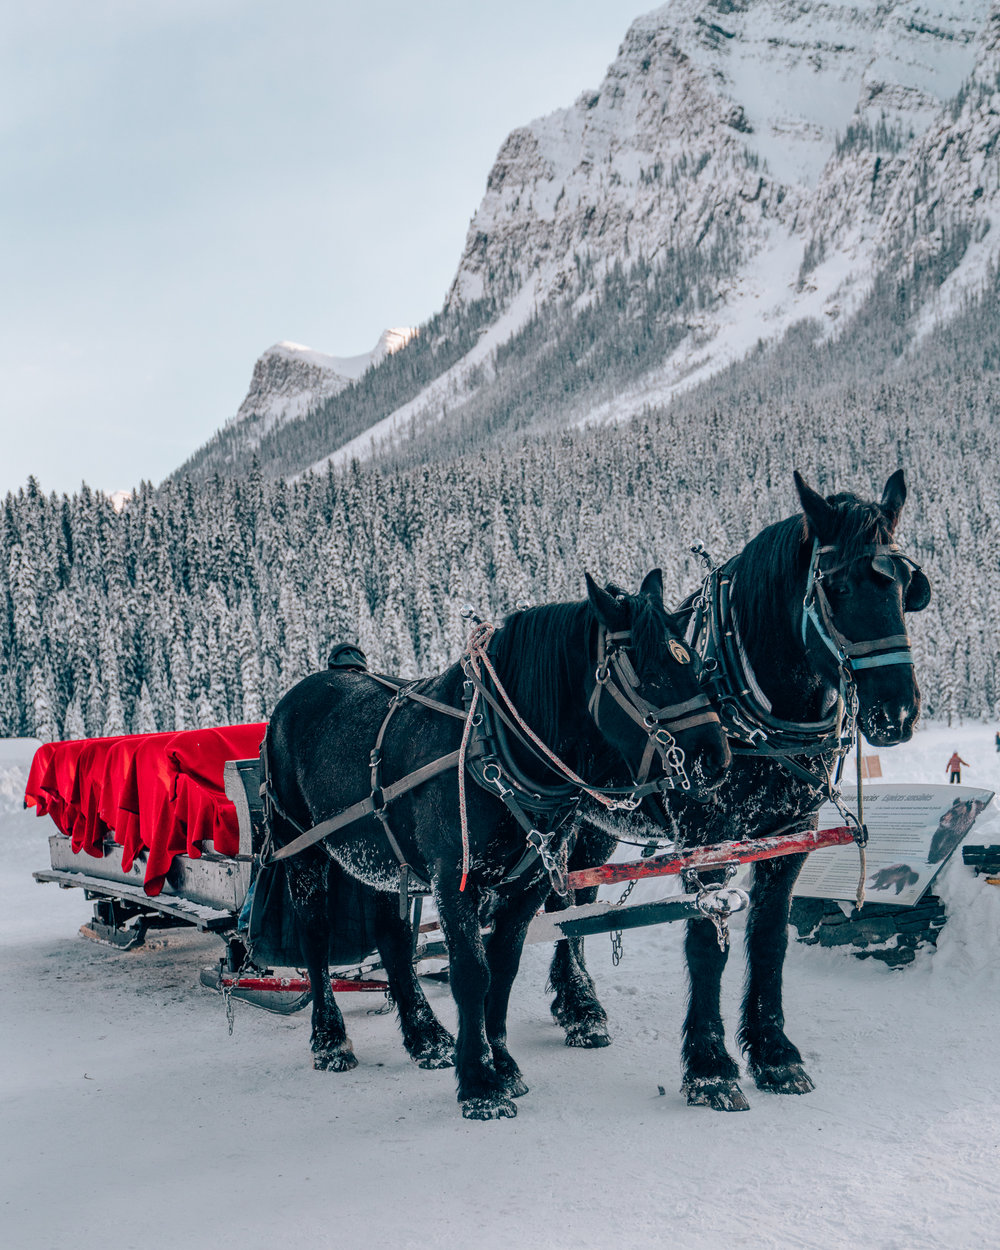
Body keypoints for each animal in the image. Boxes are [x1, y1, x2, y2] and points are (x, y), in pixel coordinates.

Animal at [265, 572, 730, 1120]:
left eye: (697, 664)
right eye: (647, 675)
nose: (717, 759)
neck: (495, 751)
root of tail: (297, 693)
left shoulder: (526, 888)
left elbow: (502, 972)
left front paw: (502, 1065)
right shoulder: (453, 881)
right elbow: (472, 974)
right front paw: (479, 1085)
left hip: (380, 860)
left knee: (393, 941)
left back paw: (426, 1038)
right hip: (301, 852)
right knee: (315, 940)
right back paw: (330, 1040)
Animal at [547, 470, 930, 1115]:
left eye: (907, 586)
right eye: (837, 585)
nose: (896, 713)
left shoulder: (789, 837)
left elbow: (768, 940)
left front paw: (774, 1054)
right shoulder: (707, 841)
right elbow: (707, 941)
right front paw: (709, 1068)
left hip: (598, 827)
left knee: (576, 904)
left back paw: (579, 1005)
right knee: (553, 906)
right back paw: (576, 1009)